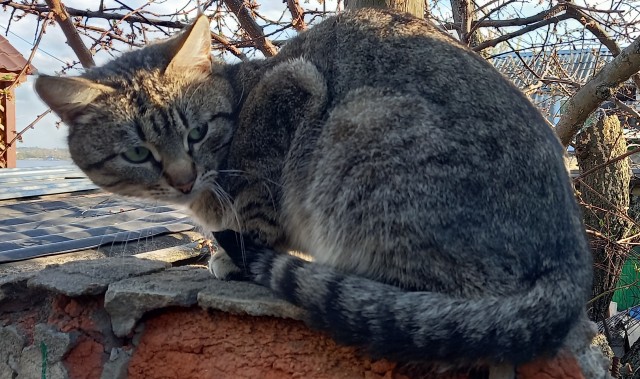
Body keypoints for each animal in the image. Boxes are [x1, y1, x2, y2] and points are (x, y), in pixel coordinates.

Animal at [36, 8, 596, 374]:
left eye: (197, 132)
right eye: (138, 153)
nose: (182, 178)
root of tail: (572, 257)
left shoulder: (288, 87)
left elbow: (256, 202)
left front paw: (232, 254)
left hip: (363, 132)